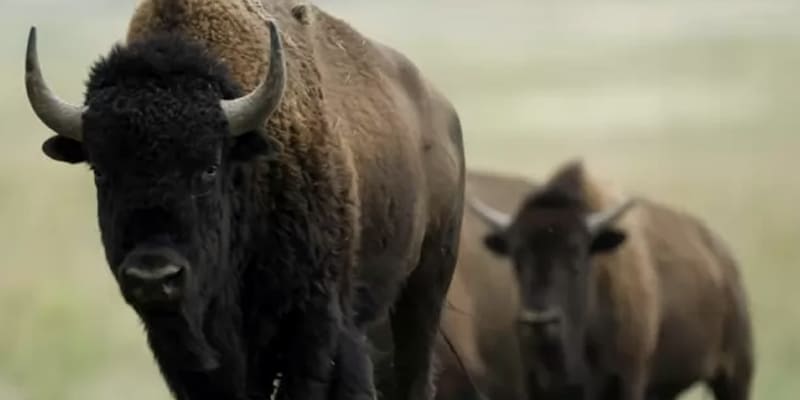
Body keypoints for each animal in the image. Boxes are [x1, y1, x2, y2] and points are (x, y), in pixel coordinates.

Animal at [25, 1, 464, 400]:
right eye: (101, 171)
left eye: (209, 167)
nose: (153, 276)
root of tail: (443, 113)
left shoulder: (313, 326)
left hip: (425, 287)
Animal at [466, 161, 754, 400]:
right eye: (516, 255)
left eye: (576, 251)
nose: (539, 321)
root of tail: (724, 259)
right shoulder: (537, 384)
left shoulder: (627, 380)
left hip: (734, 375)